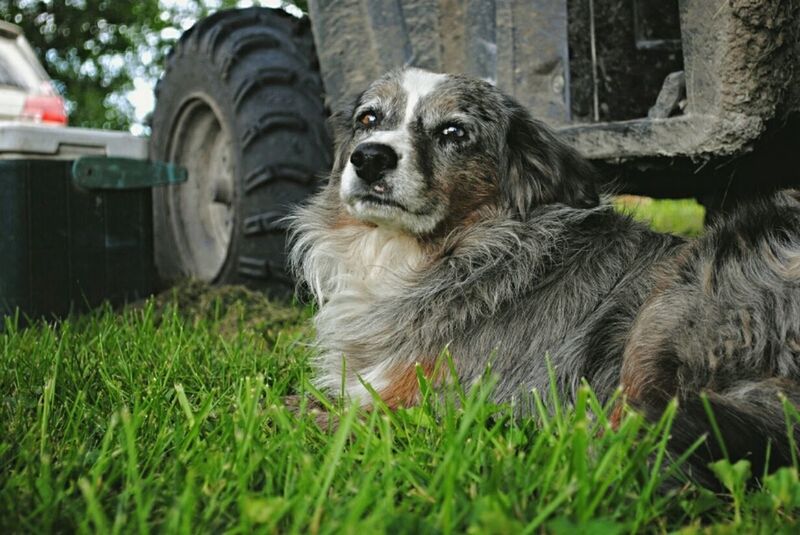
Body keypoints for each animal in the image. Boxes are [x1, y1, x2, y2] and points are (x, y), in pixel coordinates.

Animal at [290, 67, 800, 486]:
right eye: (368, 119)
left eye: (453, 131)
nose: (369, 158)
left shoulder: (444, 398)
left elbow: (339, 413)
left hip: (675, 301)